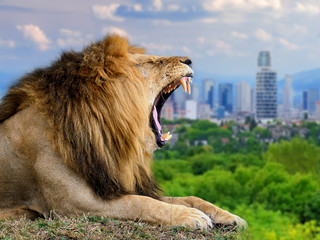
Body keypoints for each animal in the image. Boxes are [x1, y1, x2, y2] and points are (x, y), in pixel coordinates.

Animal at [0, 34, 246, 230]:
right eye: (153, 61)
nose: (188, 60)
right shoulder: (71, 204)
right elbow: (140, 203)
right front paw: (190, 216)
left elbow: (189, 197)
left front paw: (229, 215)